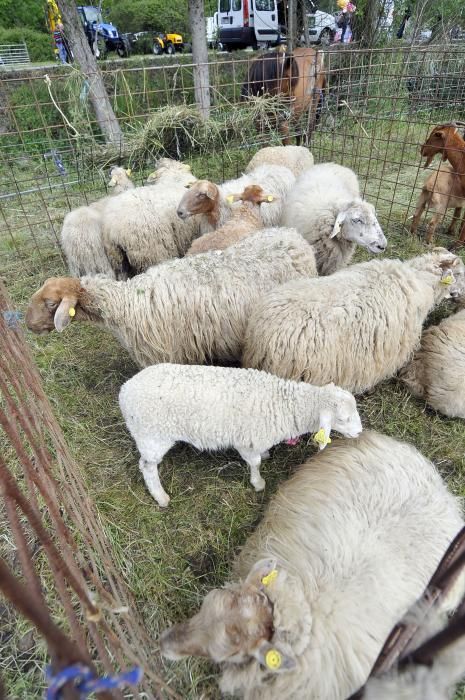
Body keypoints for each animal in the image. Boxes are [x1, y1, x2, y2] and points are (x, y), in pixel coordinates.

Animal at [118, 364, 360, 506]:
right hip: (152, 436)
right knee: (147, 466)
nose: (359, 432)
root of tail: (125, 390)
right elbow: (254, 463)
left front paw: (266, 455)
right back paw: (160, 496)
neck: (287, 406)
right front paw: (258, 483)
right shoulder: (246, 442)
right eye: (342, 419)